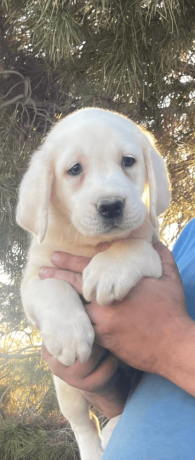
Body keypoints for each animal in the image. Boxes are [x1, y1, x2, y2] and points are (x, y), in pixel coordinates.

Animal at [16, 108, 170, 460]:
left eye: (128, 161)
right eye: (75, 169)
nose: (111, 206)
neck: (90, 246)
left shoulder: (154, 255)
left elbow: (130, 244)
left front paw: (107, 271)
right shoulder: (34, 279)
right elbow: (52, 287)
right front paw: (70, 334)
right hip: (67, 388)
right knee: (84, 424)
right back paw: (93, 449)